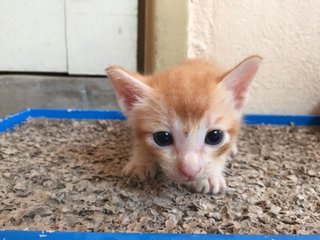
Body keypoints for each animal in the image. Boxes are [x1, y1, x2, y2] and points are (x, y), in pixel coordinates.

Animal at [106, 56, 262, 195]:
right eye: (162, 138)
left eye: (214, 137)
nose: (190, 170)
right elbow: (139, 141)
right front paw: (141, 161)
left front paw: (210, 176)